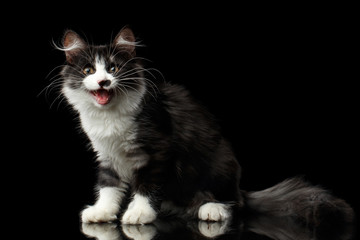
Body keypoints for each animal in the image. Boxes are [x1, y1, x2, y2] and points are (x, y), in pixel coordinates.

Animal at [56, 26, 354, 227]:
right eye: (88, 71)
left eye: (114, 69)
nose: (103, 82)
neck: (109, 117)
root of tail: (240, 188)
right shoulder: (107, 155)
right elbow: (108, 185)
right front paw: (102, 212)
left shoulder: (157, 152)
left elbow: (146, 186)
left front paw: (139, 213)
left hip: (220, 163)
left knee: (232, 202)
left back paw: (211, 209)